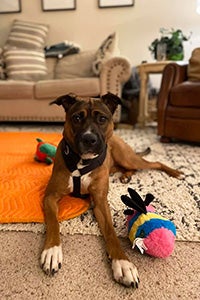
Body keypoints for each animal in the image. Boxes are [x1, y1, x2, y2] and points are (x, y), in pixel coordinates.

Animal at [40, 92, 181, 288]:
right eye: (77, 118)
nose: (89, 139)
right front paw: (52, 251)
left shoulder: (100, 202)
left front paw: (123, 263)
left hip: (127, 157)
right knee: (127, 168)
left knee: (155, 163)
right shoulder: (50, 197)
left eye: (102, 119)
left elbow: (111, 232)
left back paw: (175, 173)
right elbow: (53, 222)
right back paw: (126, 176)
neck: (81, 162)